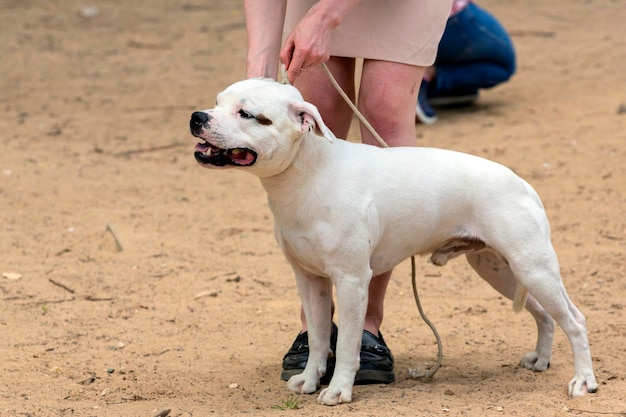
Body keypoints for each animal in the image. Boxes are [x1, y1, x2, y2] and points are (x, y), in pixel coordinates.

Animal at [188, 77, 596, 404]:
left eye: (247, 113)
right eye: (217, 101)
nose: (197, 117)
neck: (308, 172)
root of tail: (523, 183)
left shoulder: (352, 282)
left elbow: (347, 344)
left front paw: (339, 390)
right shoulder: (310, 280)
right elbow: (319, 336)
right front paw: (308, 379)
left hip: (533, 268)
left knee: (574, 320)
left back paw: (583, 381)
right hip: (503, 271)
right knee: (545, 314)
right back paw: (540, 360)